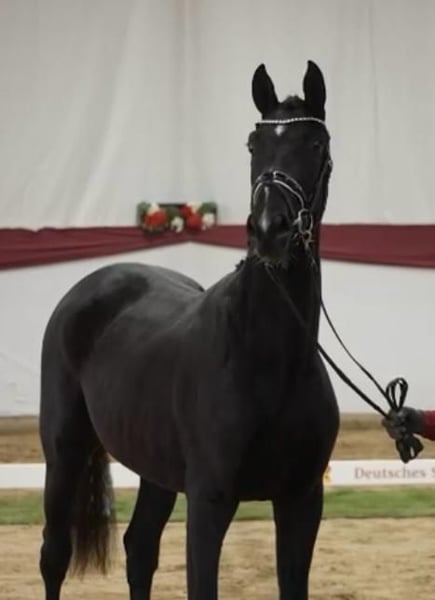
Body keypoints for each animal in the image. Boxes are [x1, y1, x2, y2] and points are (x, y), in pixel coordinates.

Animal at [39, 60, 339, 600]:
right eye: (252, 144)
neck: (268, 358)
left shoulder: (302, 501)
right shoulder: (209, 501)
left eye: (314, 144)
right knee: (55, 556)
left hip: (155, 470)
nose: (271, 229)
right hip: (63, 451)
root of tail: (93, 285)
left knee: (139, 549)